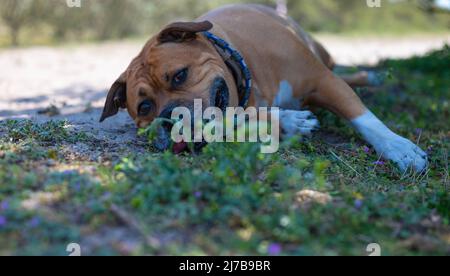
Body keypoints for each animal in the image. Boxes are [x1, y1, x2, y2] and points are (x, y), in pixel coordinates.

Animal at [100, 3, 428, 172]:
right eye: (144, 107)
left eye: (179, 75)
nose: (168, 118)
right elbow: (245, 119)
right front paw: (291, 122)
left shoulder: (323, 81)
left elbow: (364, 118)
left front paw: (398, 146)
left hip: (325, 58)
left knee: (345, 73)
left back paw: (372, 78)